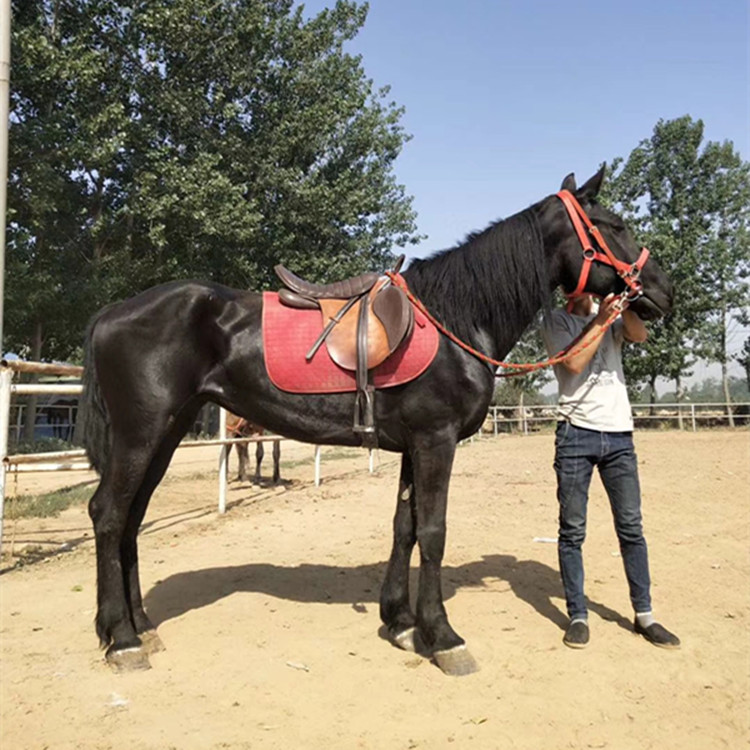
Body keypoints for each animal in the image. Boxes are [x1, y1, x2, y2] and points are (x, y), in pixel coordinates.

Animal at [82, 170, 676, 676]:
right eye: (614, 225)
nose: (662, 291)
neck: (458, 317)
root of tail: (110, 312)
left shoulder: (415, 445)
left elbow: (404, 527)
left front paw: (402, 623)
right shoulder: (436, 442)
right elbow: (433, 533)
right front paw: (443, 637)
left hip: (165, 433)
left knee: (131, 519)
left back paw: (139, 626)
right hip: (142, 433)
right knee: (109, 515)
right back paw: (123, 639)